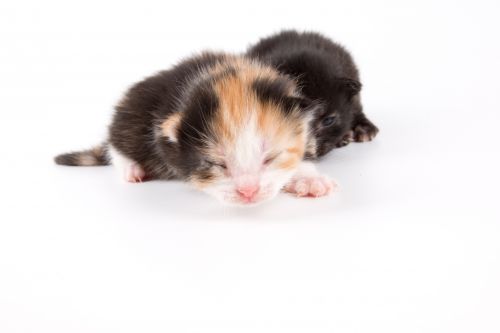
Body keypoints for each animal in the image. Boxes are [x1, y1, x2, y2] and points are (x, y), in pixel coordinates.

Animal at [54, 52, 336, 204]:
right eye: (217, 164)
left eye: (270, 158)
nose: (248, 192)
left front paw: (309, 180)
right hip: (129, 119)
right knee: (116, 144)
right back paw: (132, 168)